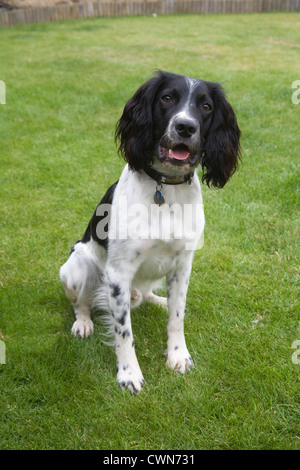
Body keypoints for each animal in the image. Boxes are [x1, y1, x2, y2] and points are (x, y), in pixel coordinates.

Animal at [59, 70, 240, 392]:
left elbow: (177, 317)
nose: (185, 127)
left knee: (147, 295)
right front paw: (128, 373)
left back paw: (158, 300)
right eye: (167, 98)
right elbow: (123, 331)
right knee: (82, 303)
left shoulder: (182, 264)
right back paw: (83, 323)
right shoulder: (118, 272)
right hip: (75, 267)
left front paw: (178, 355)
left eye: (206, 106)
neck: (165, 188)